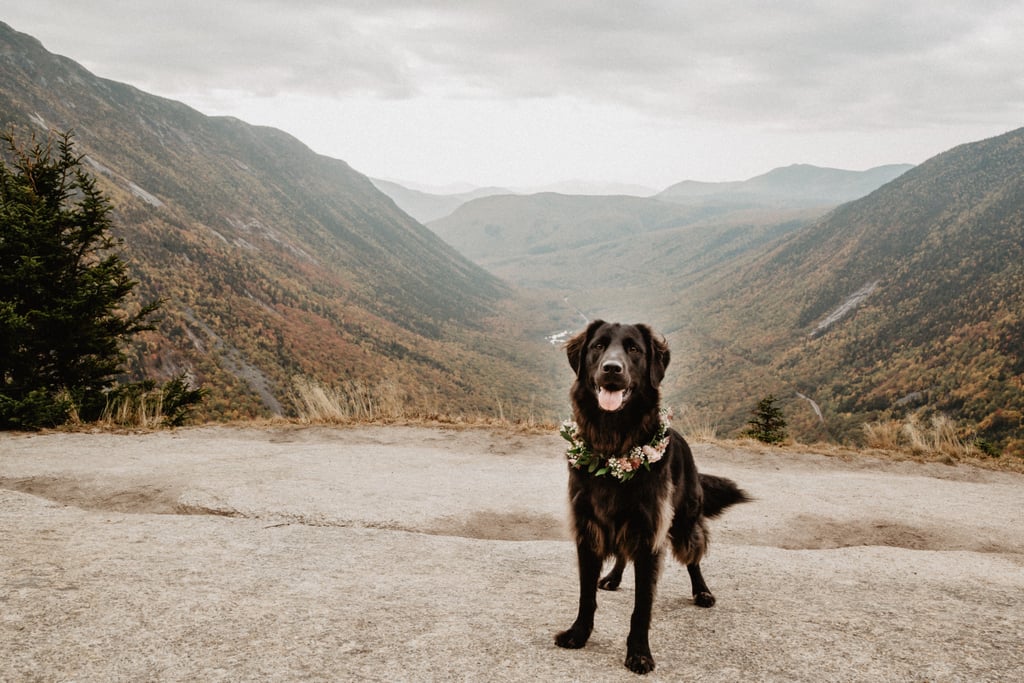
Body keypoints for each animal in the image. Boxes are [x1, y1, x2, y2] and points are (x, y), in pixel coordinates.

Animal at [557, 321, 749, 671]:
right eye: (598, 346)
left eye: (634, 349)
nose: (612, 369)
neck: (613, 446)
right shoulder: (588, 530)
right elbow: (586, 594)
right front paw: (579, 633)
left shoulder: (649, 534)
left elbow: (642, 604)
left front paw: (639, 653)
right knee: (622, 553)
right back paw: (613, 577)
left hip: (685, 520)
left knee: (694, 557)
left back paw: (702, 592)